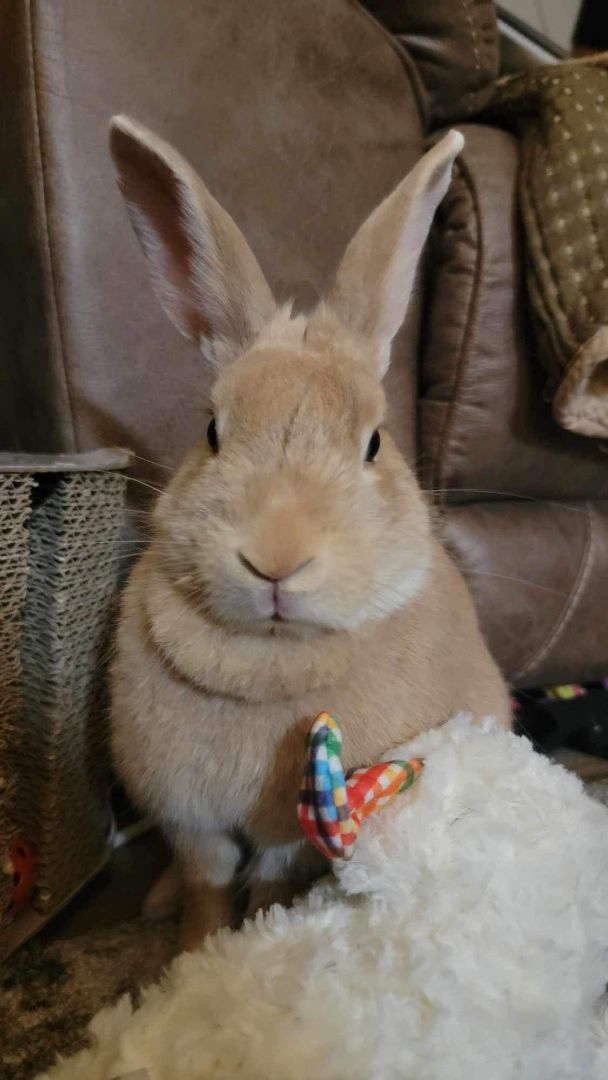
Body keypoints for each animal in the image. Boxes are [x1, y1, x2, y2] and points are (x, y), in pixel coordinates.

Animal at [109, 117, 511, 950]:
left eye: (374, 444)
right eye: (212, 431)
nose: (275, 559)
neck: (267, 656)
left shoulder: (288, 834)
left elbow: (264, 885)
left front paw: (245, 947)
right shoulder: (189, 817)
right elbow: (206, 884)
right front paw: (192, 955)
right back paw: (154, 902)